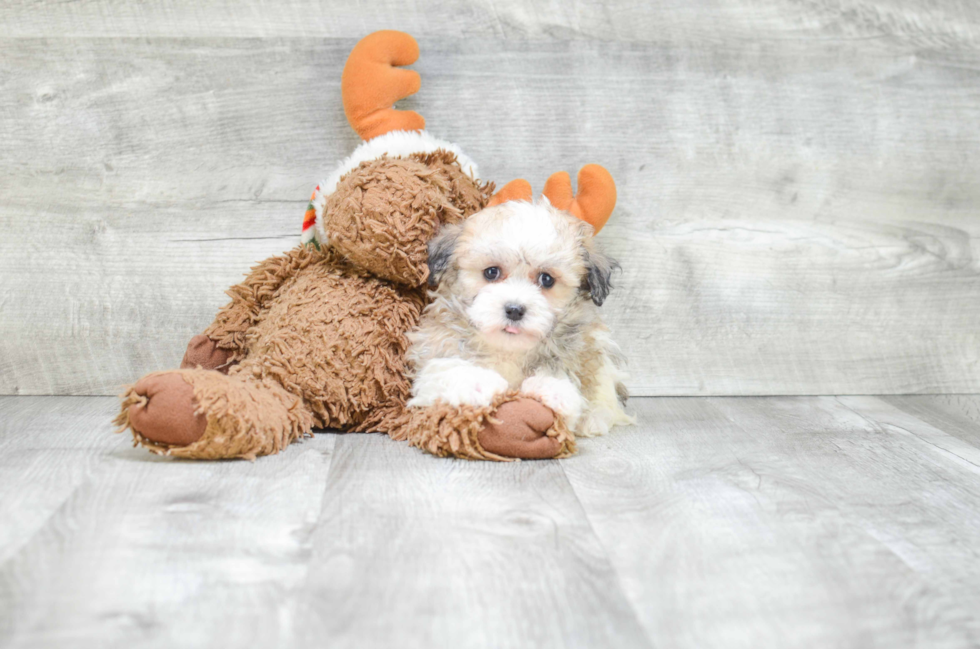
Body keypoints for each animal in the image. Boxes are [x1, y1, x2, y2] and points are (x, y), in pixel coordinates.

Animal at [408, 200, 632, 438]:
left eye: (546, 279)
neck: (509, 349)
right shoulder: (435, 346)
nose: (514, 310)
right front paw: (476, 383)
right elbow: (446, 367)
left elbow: (561, 370)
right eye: (491, 272)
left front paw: (553, 390)